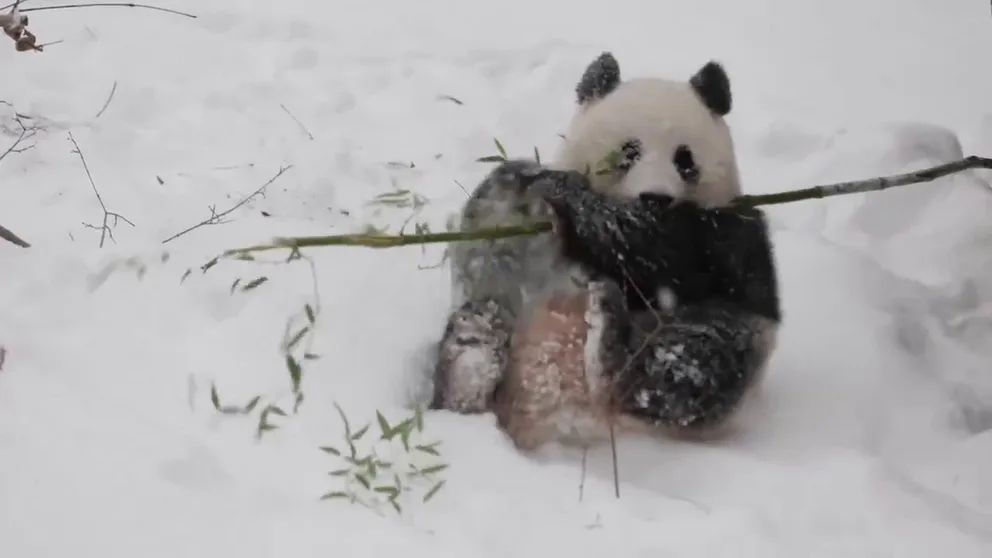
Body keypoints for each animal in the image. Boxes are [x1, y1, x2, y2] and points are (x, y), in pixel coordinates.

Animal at [426, 51, 784, 456]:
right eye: (629, 151)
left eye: (685, 159)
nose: (656, 198)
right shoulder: (519, 246)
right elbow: (488, 255)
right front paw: (519, 178)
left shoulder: (728, 237)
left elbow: (662, 253)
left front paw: (570, 192)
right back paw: (469, 369)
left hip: (730, 340)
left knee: (691, 363)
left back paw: (609, 336)